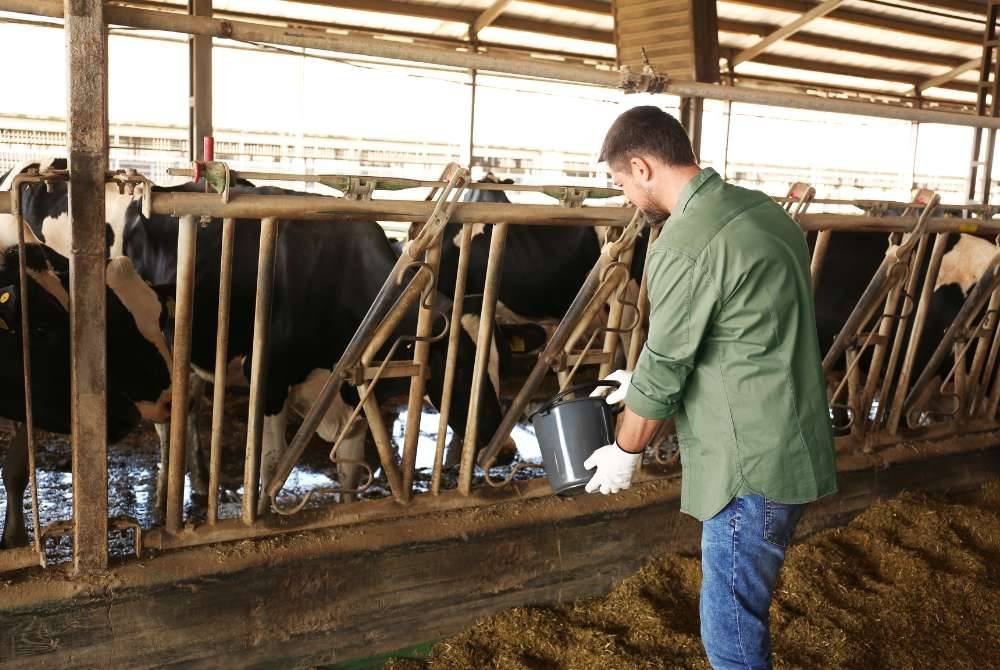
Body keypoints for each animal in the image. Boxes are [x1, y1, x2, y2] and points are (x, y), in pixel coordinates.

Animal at [123, 181, 516, 506]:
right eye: (459, 365)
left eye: (502, 364)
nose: (506, 451)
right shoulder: (269, 381)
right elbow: (271, 466)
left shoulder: (354, 389)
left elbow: (349, 470)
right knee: (166, 418)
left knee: (188, 405)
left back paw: (202, 482)